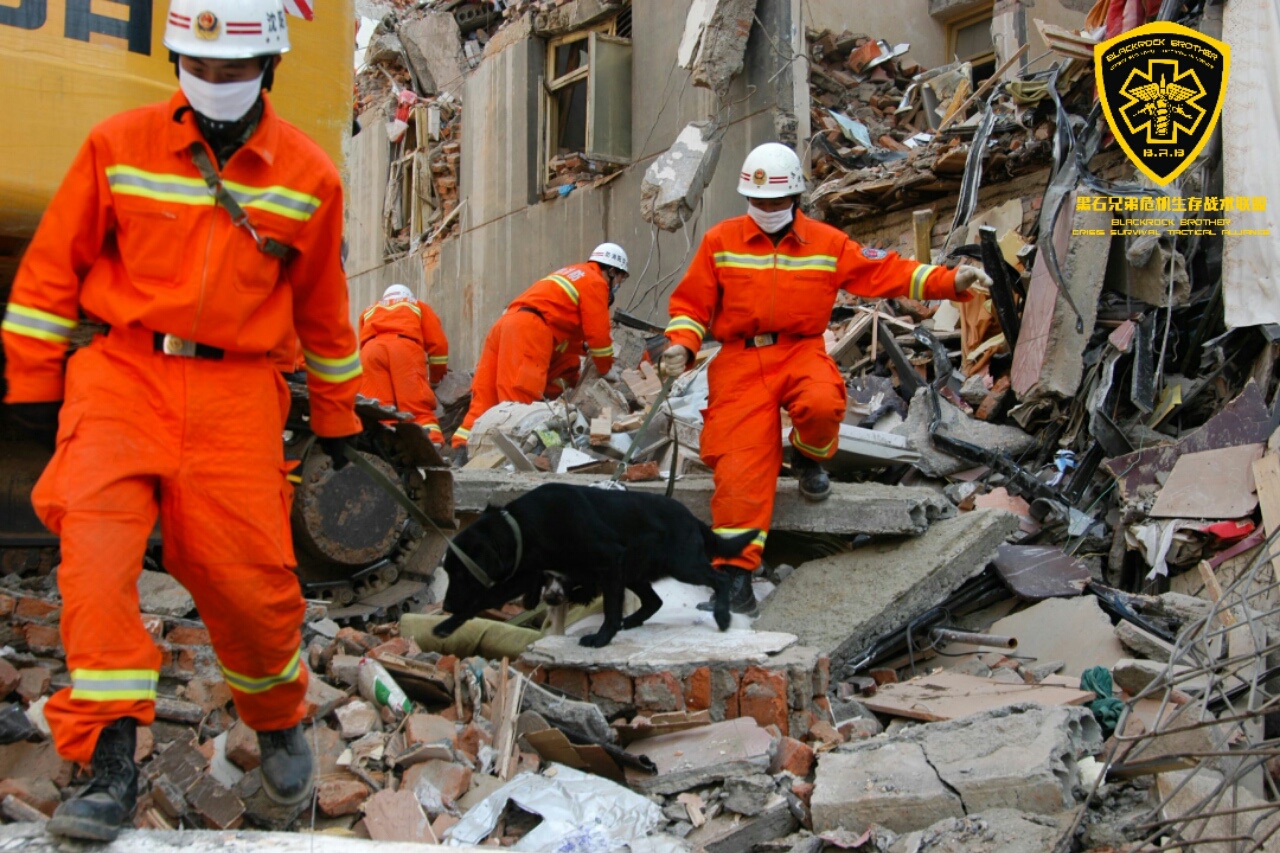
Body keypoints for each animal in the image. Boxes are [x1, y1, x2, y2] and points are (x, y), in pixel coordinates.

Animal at [437, 484, 757, 645]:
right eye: (449, 572)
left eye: (461, 575)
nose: (447, 606)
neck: (523, 526)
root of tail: (693, 519)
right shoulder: (523, 575)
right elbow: (482, 600)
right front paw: (447, 625)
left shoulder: (610, 558)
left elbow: (610, 609)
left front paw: (602, 638)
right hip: (635, 572)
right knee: (654, 601)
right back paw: (632, 622)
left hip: (681, 565)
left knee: (720, 579)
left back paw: (722, 616)